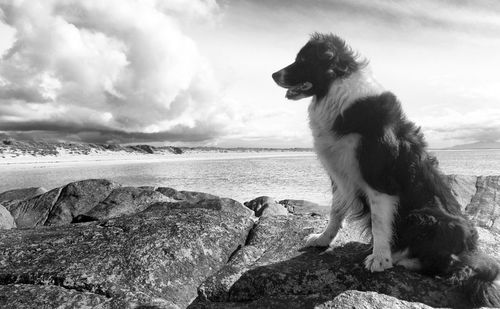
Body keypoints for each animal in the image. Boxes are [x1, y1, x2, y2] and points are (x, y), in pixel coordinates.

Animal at [274, 32, 500, 306]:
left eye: (303, 60)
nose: (273, 75)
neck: (337, 92)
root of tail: (469, 250)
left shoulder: (379, 180)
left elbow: (380, 222)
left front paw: (380, 259)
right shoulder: (339, 175)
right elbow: (336, 213)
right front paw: (322, 239)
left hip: (425, 217)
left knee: (445, 264)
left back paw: (403, 259)